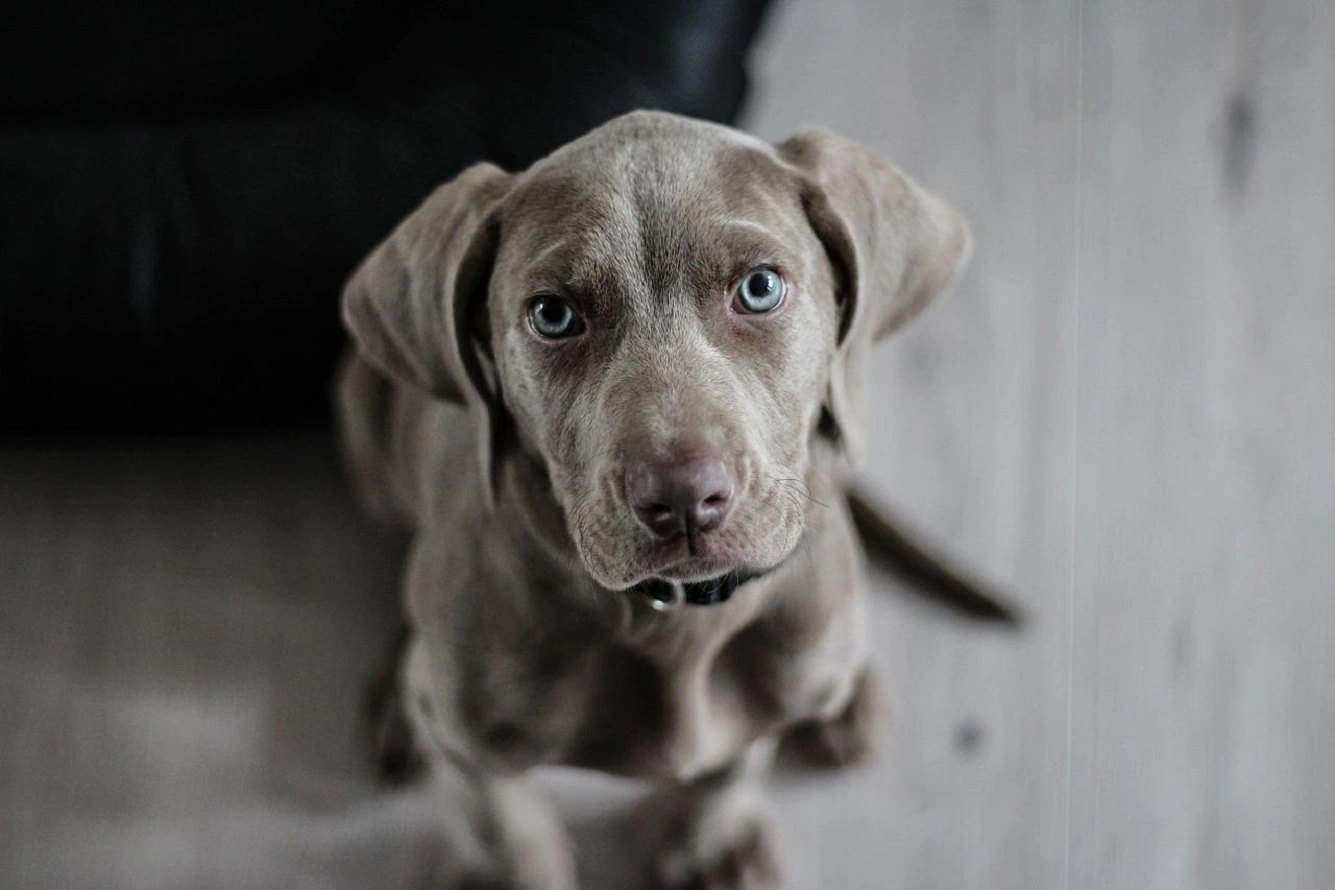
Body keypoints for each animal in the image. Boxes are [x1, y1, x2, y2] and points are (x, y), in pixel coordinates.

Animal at [333, 111, 1009, 890]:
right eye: (552, 314)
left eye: (759, 288)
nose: (684, 498)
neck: (675, 621)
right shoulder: (471, 746)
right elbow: (500, 823)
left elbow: (730, 765)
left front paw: (710, 843)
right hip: (361, 413)